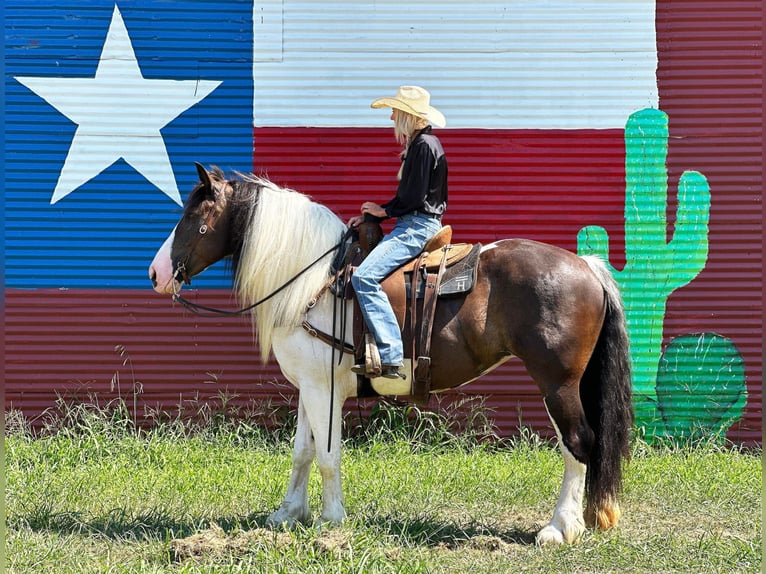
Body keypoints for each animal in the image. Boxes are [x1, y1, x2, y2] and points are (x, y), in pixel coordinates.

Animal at [150, 164, 636, 548]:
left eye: (193, 215)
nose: (155, 273)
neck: (313, 281)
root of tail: (585, 265)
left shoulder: (324, 389)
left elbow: (327, 456)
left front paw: (331, 521)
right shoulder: (309, 386)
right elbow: (302, 452)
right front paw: (287, 515)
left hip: (557, 383)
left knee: (578, 443)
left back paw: (559, 528)